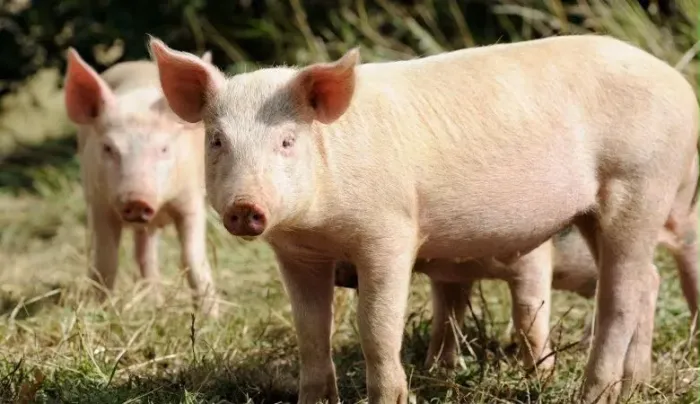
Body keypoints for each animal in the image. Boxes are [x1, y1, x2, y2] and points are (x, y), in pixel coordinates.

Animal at [64, 48, 219, 318]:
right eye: (109, 148)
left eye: (164, 149)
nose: (137, 199)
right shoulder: (99, 203)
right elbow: (105, 261)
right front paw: (101, 313)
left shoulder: (190, 199)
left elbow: (192, 258)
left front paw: (213, 317)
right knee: (143, 253)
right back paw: (153, 301)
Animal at [148, 34, 699, 404]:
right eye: (217, 140)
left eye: (287, 140)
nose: (245, 206)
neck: (320, 226)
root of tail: (678, 82)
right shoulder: (298, 254)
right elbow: (310, 329)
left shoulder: (389, 231)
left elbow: (376, 326)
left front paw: (395, 397)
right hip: (593, 210)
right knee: (646, 280)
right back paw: (637, 383)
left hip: (640, 182)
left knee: (621, 294)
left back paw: (594, 394)